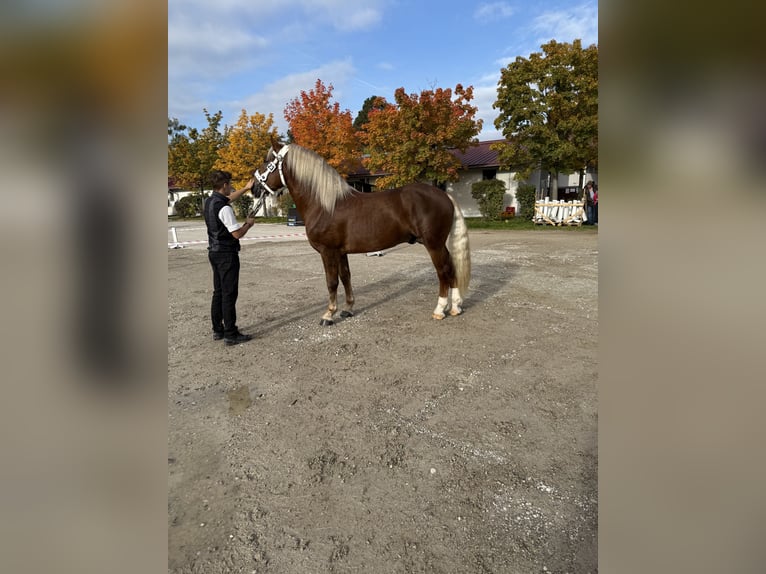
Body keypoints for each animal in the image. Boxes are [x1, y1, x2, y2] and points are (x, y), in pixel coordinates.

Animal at [253, 139, 471, 326]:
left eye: (267, 162)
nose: (254, 188)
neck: (325, 204)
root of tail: (445, 195)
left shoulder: (328, 251)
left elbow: (331, 282)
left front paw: (328, 315)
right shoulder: (340, 252)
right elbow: (345, 277)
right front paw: (348, 309)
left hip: (433, 244)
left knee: (443, 271)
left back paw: (440, 310)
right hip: (439, 244)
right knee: (451, 268)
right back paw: (455, 307)